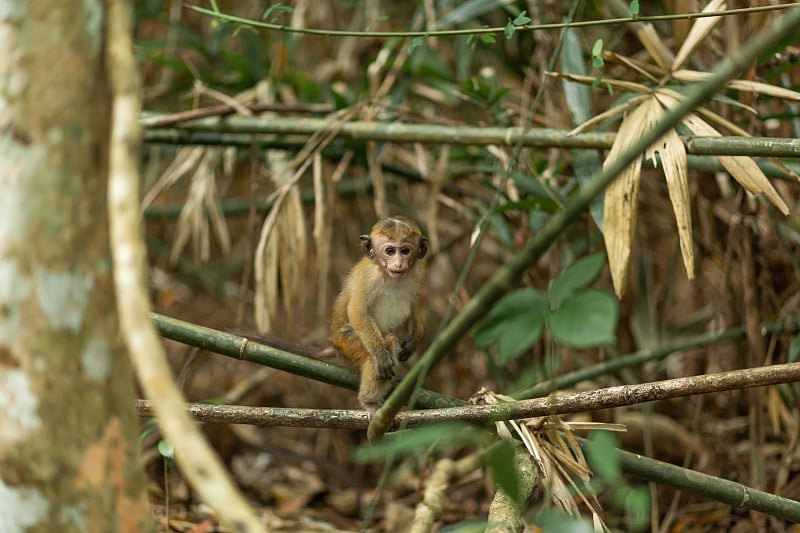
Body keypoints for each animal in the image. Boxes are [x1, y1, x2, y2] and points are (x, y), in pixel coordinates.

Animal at [330, 214, 428, 414]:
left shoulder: (418, 273)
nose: (398, 263)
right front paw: (381, 356)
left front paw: (415, 339)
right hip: (348, 343)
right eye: (390, 251)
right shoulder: (367, 276)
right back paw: (370, 401)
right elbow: (357, 312)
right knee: (385, 343)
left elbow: (414, 308)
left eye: (405, 250)